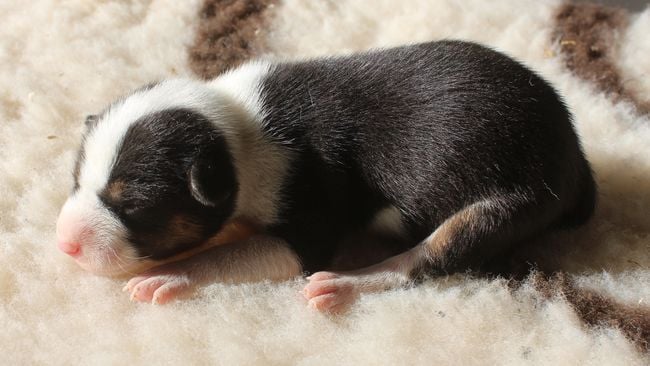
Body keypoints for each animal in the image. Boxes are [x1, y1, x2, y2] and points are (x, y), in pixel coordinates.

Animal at [54, 42, 592, 312]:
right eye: (76, 181)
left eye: (133, 206)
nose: (64, 245)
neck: (236, 129)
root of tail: (574, 153)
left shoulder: (311, 201)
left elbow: (239, 254)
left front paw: (172, 274)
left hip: (512, 202)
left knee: (432, 257)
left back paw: (348, 283)